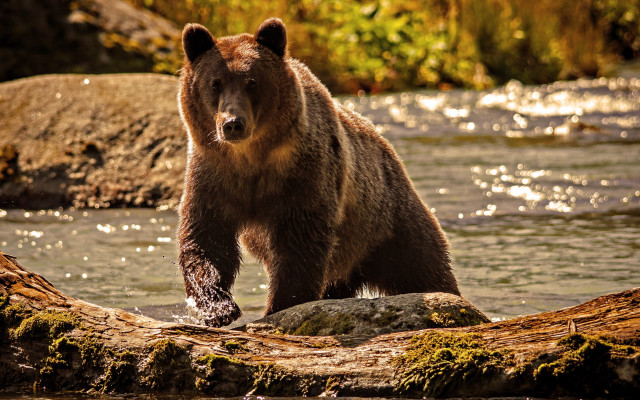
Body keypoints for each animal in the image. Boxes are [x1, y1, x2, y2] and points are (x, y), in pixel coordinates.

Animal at [177, 18, 460, 327]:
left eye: (252, 82)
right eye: (214, 83)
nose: (232, 123)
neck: (252, 158)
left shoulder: (304, 174)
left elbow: (300, 243)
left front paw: (280, 305)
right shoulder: (214, 173)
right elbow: (207, 236)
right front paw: (217, 307)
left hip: (387, 220)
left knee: (423, 266)